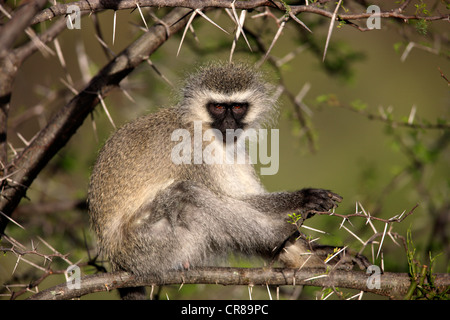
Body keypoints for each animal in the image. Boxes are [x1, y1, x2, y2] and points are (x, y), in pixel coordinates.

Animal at [87, 63, 362, 300]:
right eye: (218, 107)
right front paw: (303, 197)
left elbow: (243, 196)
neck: (204, 128)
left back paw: (311, 258)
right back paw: (278, 238)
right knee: (187, 195)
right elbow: (235, 200)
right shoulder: (193, 151)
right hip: (146, 246)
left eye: (238, 107)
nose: (229, 123)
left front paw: (320, 252)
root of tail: (116, 256)